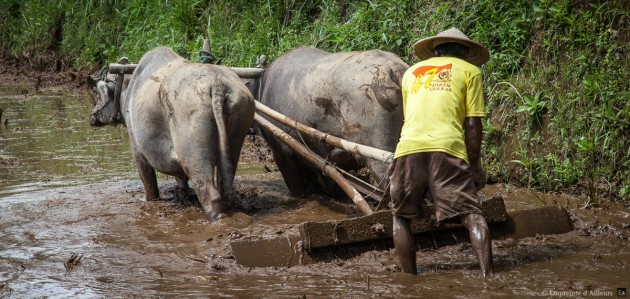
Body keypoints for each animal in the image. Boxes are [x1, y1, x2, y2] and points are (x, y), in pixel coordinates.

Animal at [89, 47, 256, 220]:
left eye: (99, 93)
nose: (92, 116)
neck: (127, 89)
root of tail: (217, 82)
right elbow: (180, 179)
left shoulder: (137, 150)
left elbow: (149, 183)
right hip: (238, 125)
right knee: (226, 184)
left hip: (193, 149)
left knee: (208, 191)